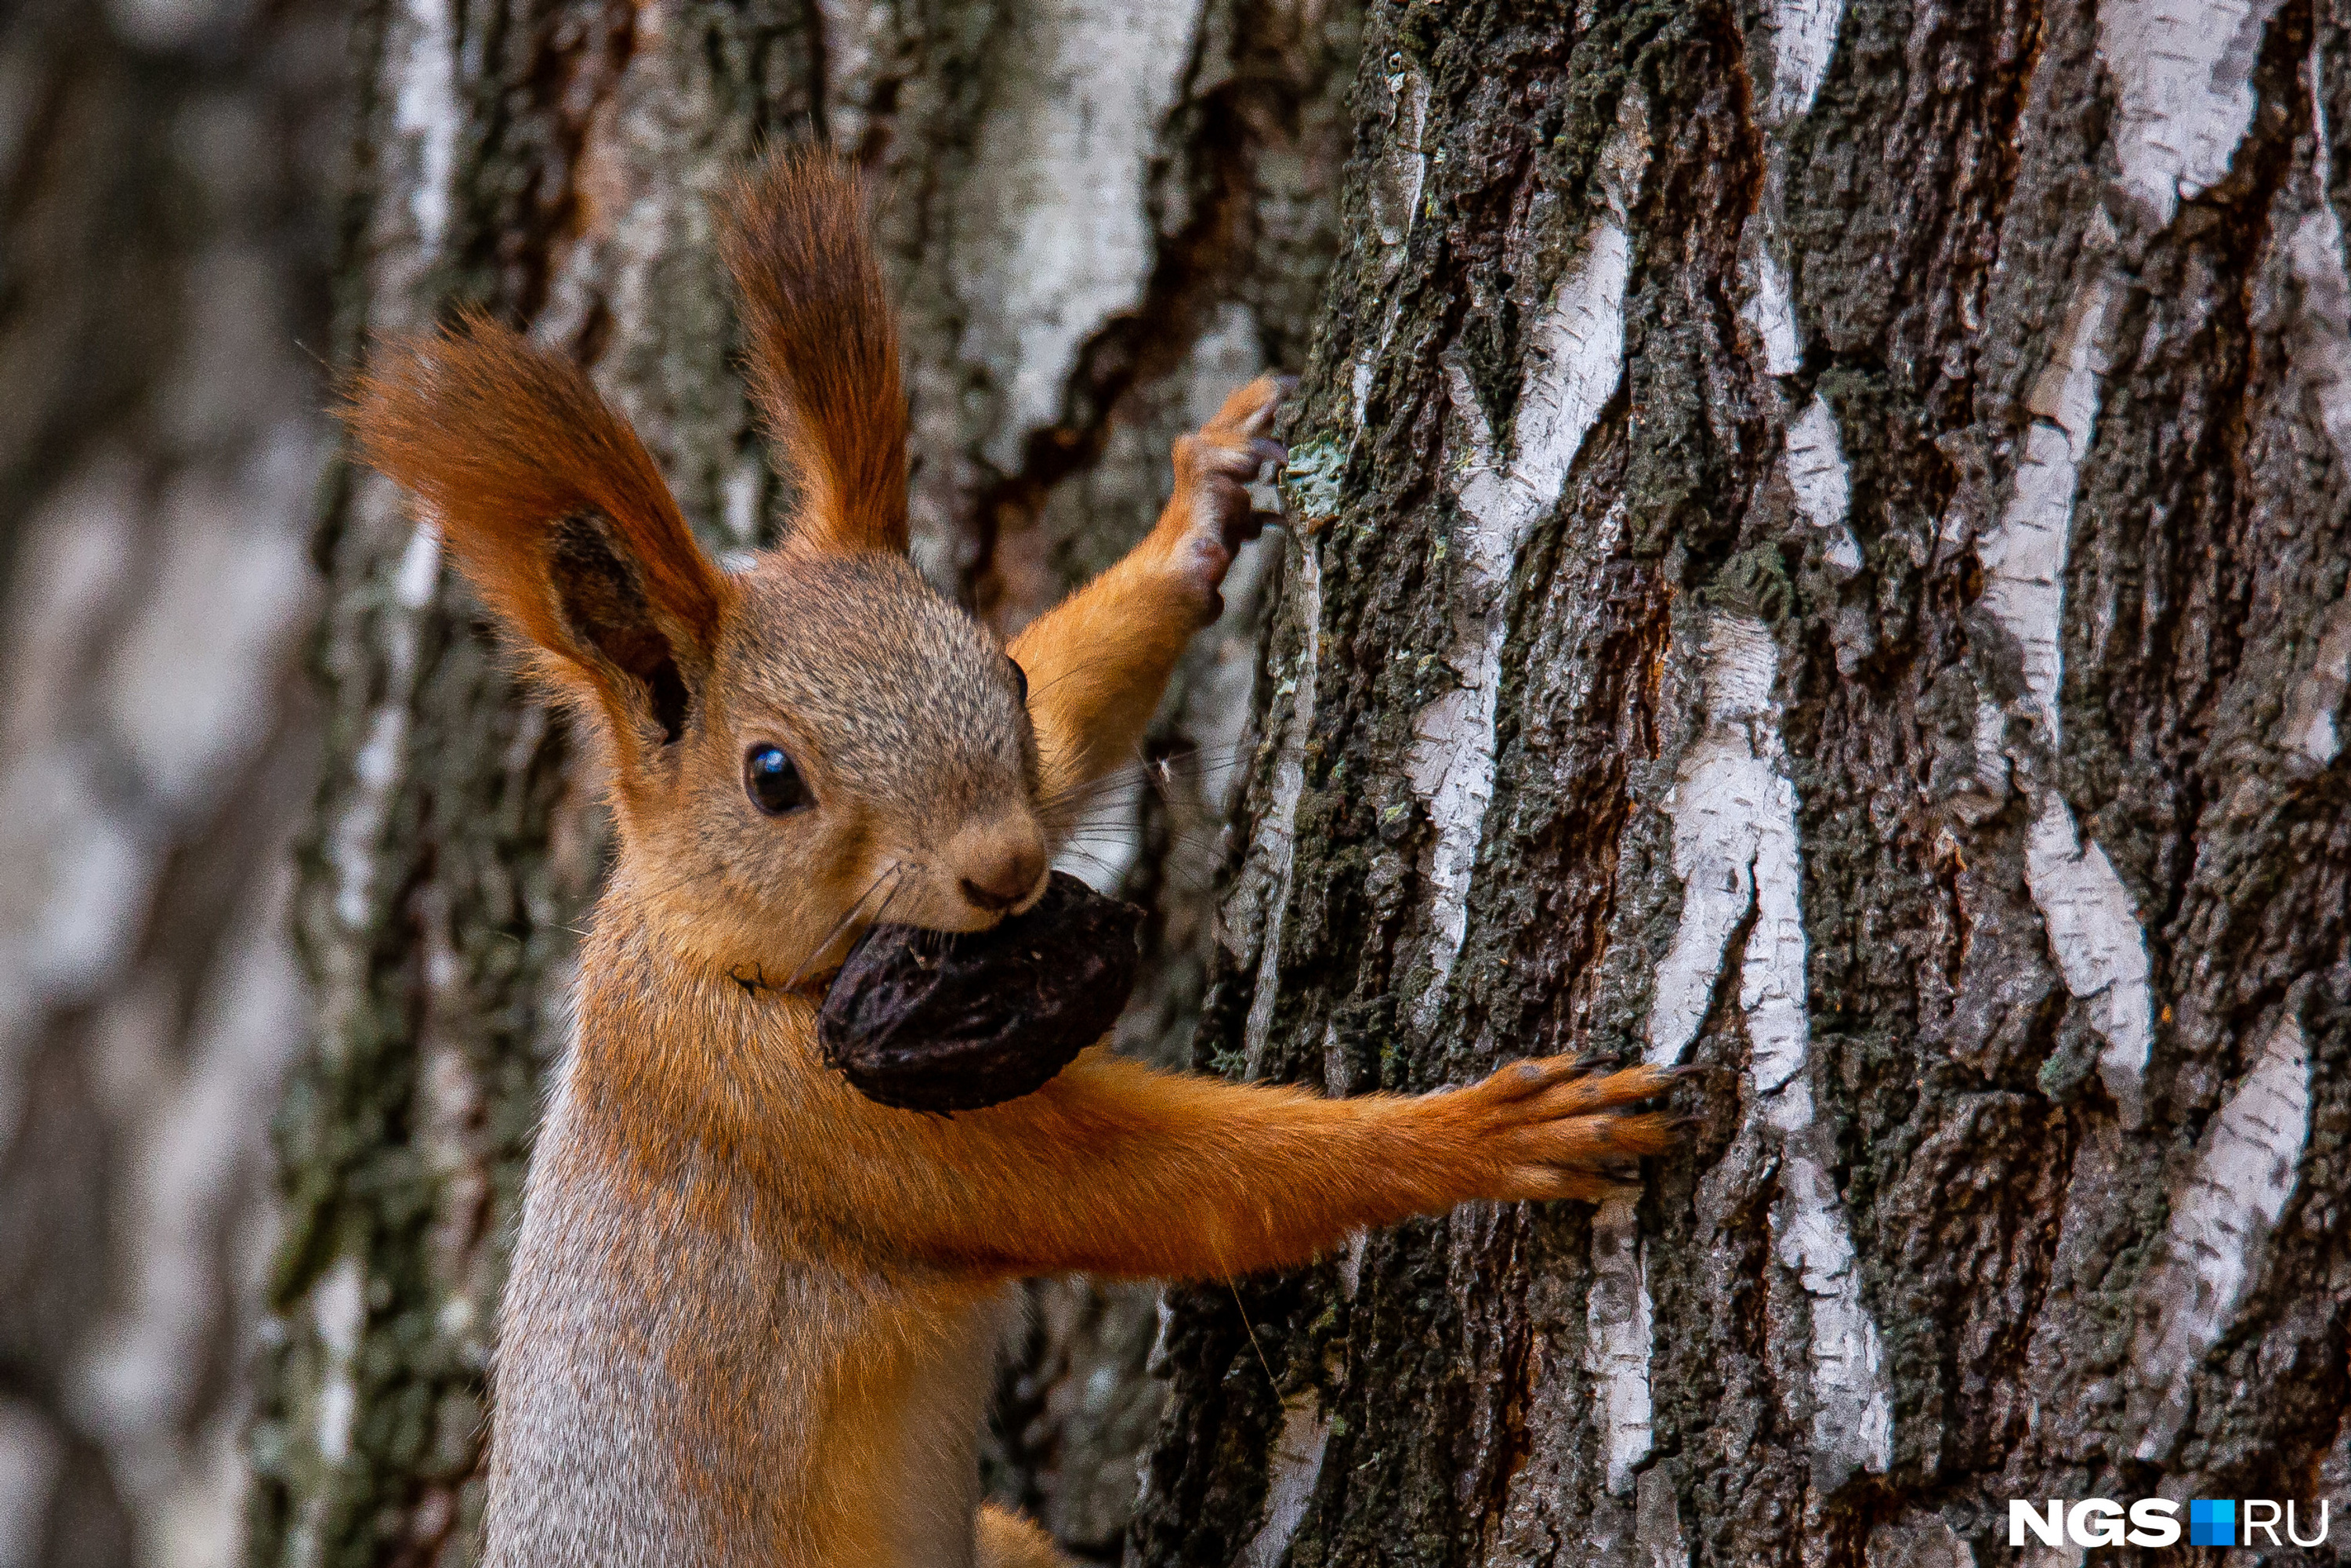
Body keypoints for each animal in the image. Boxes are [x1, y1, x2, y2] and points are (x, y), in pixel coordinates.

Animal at [343, 147, 1674, 1568]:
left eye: (1007, 676)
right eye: (772, 779)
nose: (1006, 870)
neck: (715, 958)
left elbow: (1088, 718)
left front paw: (1196, 512)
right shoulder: (796, 1115)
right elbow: (1161, 1190)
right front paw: (1485, 1132)